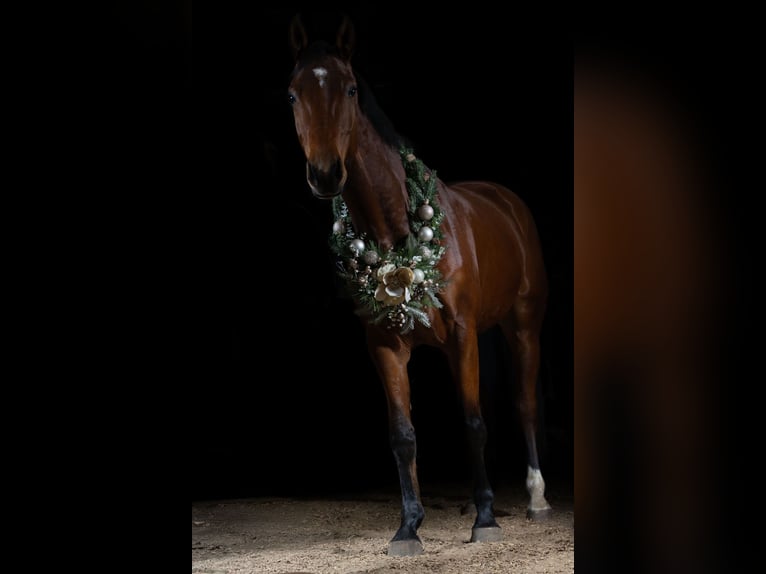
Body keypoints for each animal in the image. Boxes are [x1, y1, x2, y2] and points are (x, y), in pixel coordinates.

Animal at [286, 14, 552, 556]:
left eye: (350, 89)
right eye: (293, 93)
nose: (325, 174)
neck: (401, 230)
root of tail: (506, 200)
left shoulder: (462, 335)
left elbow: (472, 422)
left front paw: (487, 522)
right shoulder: (386, 346)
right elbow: (403, 434)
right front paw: (409, 527)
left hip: (522, 326)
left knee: (524, 401)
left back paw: (535, 500)